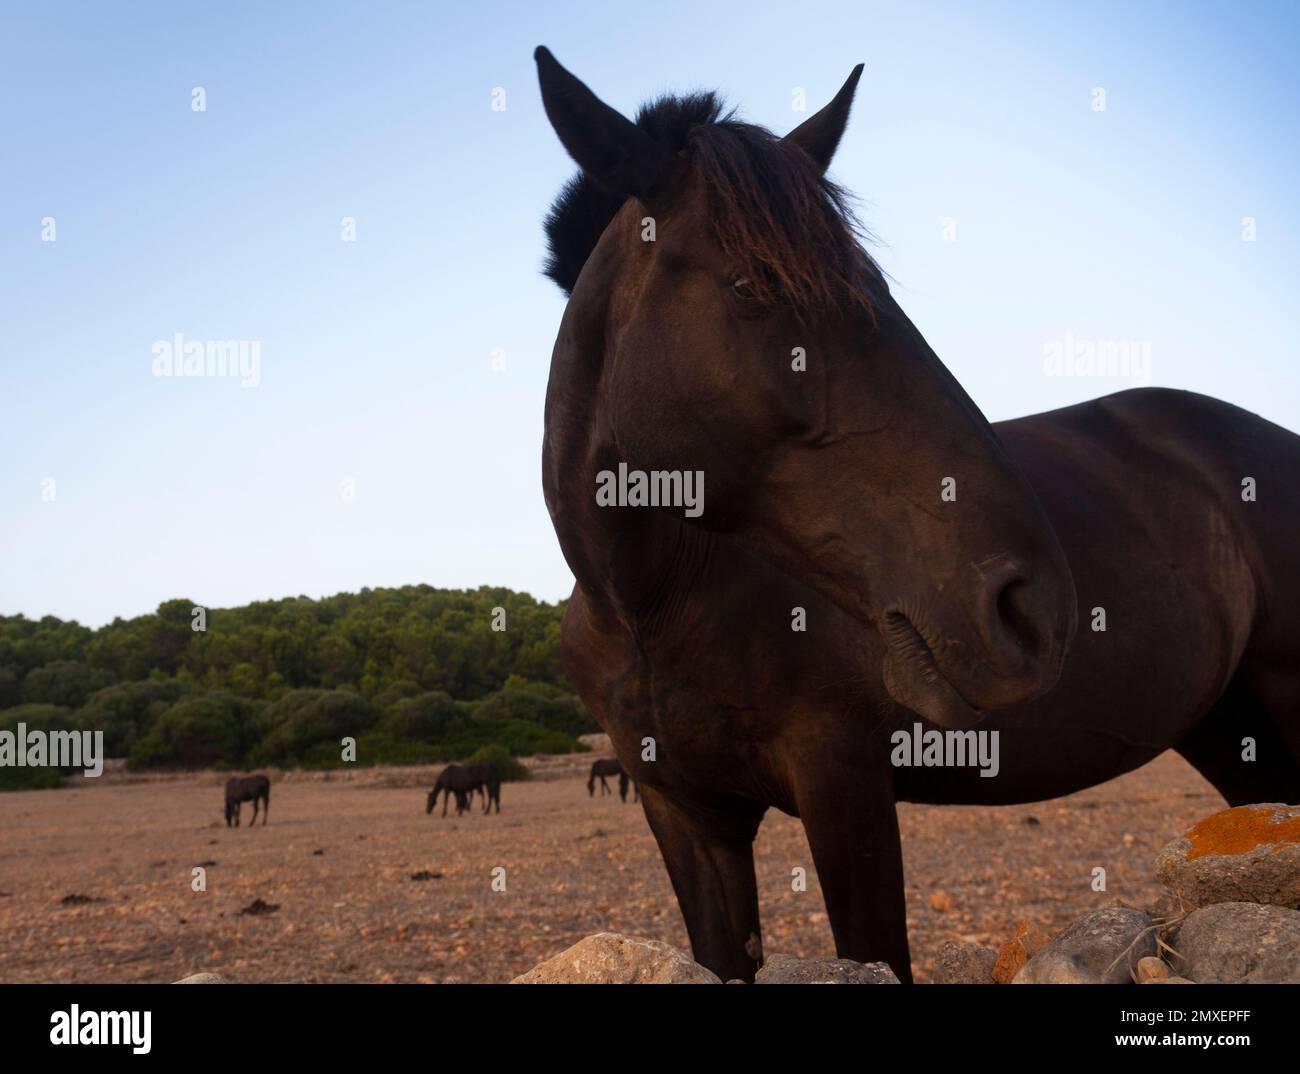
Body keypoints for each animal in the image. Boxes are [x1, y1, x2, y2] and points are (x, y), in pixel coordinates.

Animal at [534, 47, 1300, 984]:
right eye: (752, 284)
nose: (1031, 607)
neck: (652, 597)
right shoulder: (685, 816)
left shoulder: (845, 781)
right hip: (1235, 736)